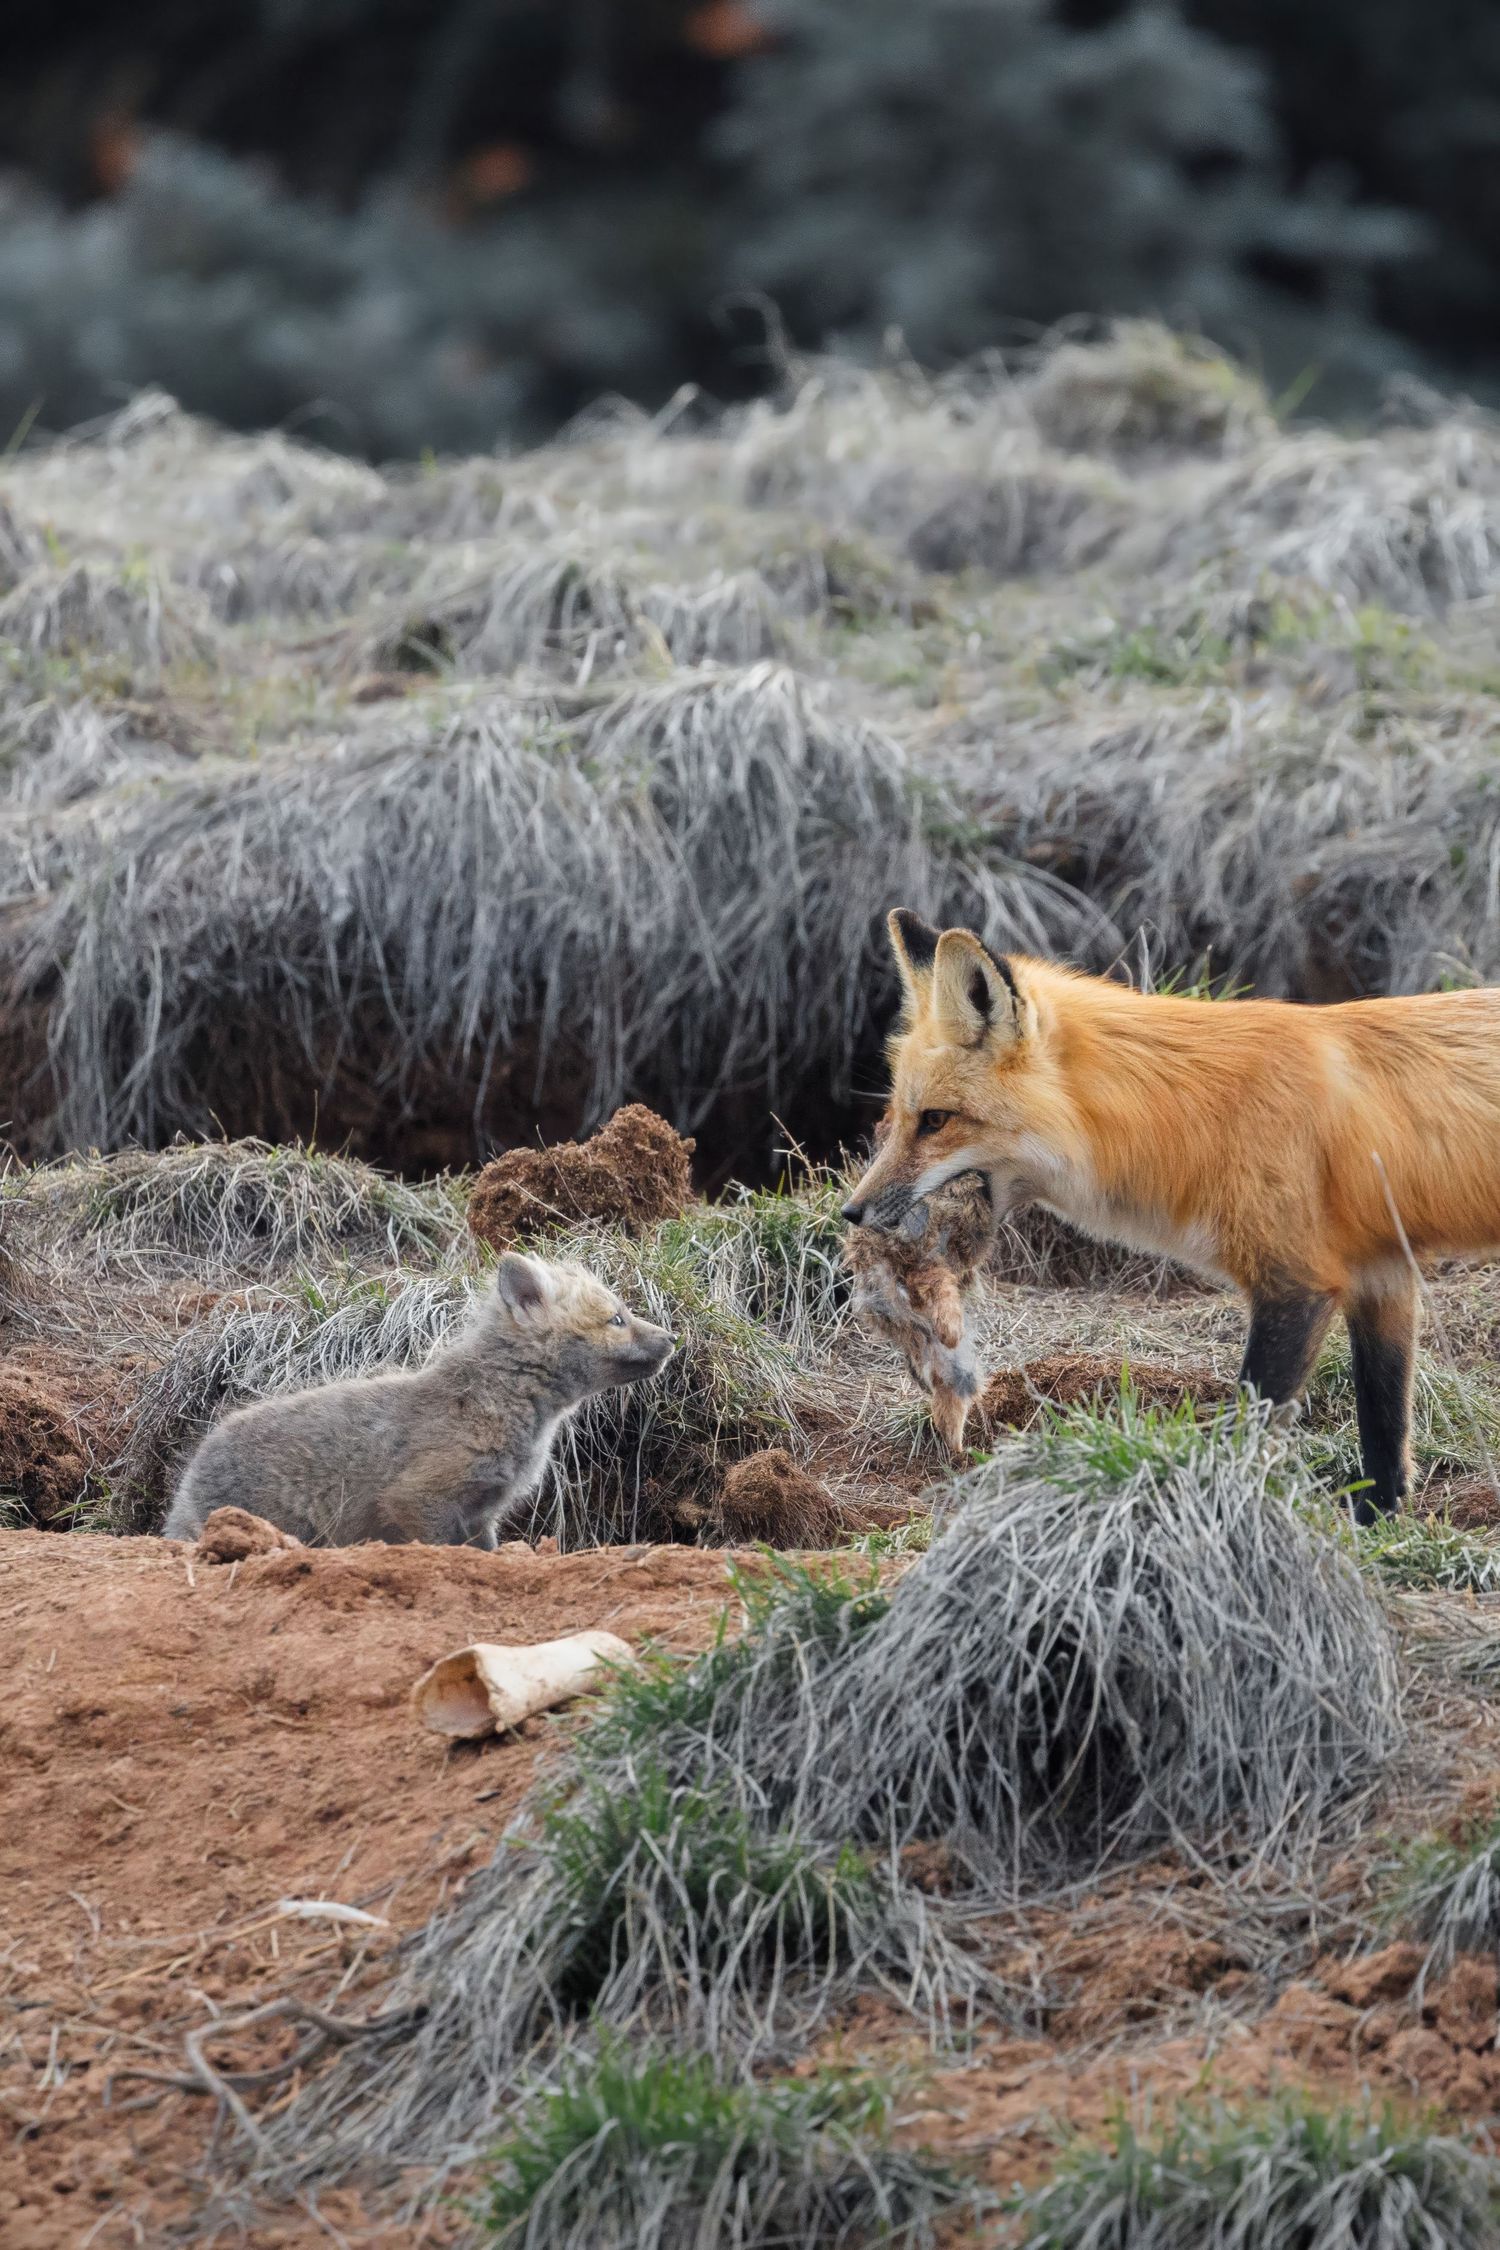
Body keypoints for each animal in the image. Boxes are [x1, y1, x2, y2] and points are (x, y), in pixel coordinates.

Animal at [162, 1252, 674, 1548]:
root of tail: (190, 1474)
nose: (673, 1338)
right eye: (616, 1319)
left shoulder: (482, 1515)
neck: (497, 1404)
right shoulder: (418, 1499)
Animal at [842, 908, 1500, 1522]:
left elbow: (1247, 1427)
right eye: (900, 1117)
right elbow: (1384, 1425)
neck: (1194, 1113)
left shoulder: (1298, 1283)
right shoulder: (1381, 1271)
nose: (852, 1212)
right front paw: (1376, 1526)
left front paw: (1218, 1511)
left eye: (935, 1120)